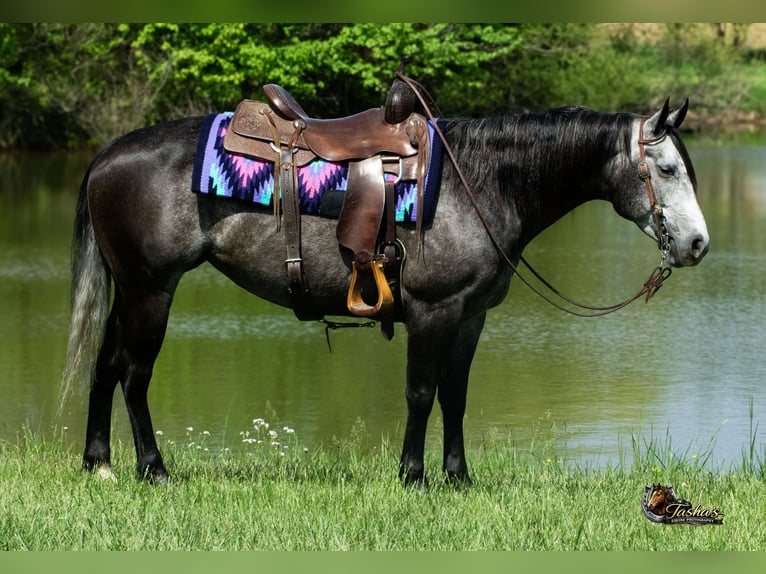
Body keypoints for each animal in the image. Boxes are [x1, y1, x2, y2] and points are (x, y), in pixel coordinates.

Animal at [62, 96, 709, 485]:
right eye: (668, 170)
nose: (699, 244)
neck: (480, 183)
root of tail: (107, 154)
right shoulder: (434, 311)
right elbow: (421, 393)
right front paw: (413, 475)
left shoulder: (470, 317)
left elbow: (455, 396)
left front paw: (458, 477)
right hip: (151, 291)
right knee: (135, 375)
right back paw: (153, 468)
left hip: (131, 291)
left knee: (105, 365)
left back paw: (99, 463)